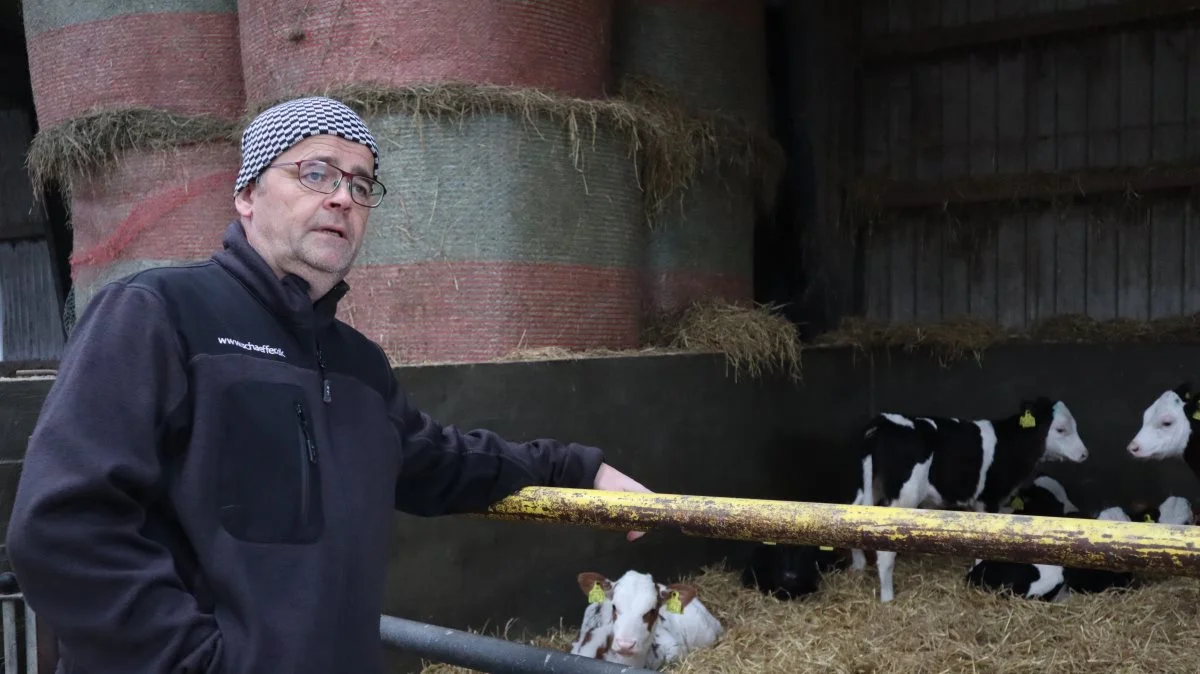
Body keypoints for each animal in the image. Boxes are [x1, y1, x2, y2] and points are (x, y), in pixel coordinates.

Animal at [849, 395, 1094, 599]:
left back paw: (858, 567)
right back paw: (887, 597)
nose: (1084, 454)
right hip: (903, 499)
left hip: (870, 488)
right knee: (884, 551)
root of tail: (885, 421)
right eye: (1061, 429)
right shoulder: (989, 499)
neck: (1009, 445)